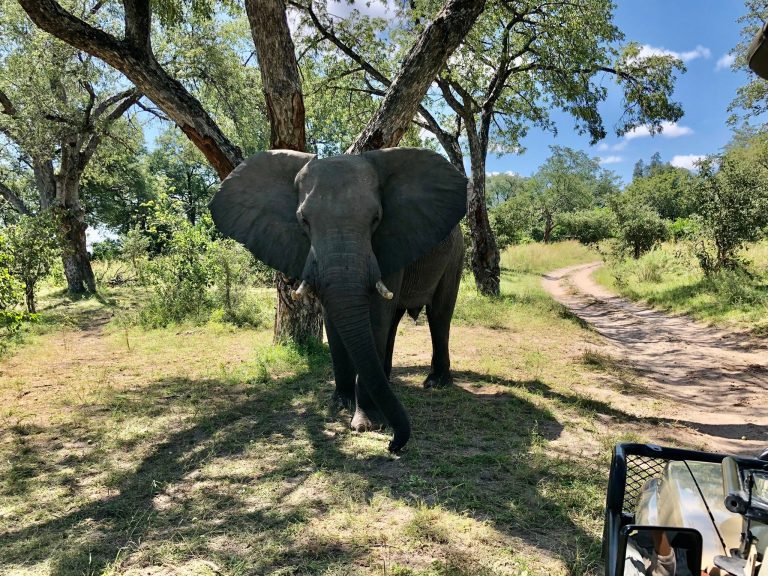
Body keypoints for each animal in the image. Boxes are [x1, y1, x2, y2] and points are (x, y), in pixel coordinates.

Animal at [209, 148, 468, 452]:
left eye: (376, 218)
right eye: (304, 221)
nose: (393, 445)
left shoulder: (388, 240)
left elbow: (376, 317)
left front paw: (367, 424)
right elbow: (335, 318)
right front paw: (339, 405)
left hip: (456, 253)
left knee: (438, 314)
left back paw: (435, 383)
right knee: (395, 322)